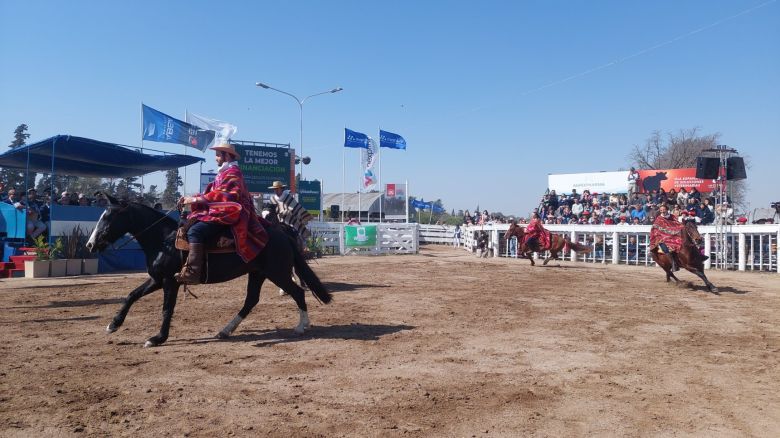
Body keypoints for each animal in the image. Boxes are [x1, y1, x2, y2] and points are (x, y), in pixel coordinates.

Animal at [87, 197, 330, 348]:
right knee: (251, 300)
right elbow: (131, 295)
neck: (163, 240)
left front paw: (157, 338)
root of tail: (283, 234)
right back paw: (225, 330)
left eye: (108, 217)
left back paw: (301, 326)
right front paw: (113, 325)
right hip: (258, 274)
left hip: (277, 273)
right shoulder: (156, 279)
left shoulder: (170, 282)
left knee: (297, 292)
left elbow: (166, 309)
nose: (90, 245)